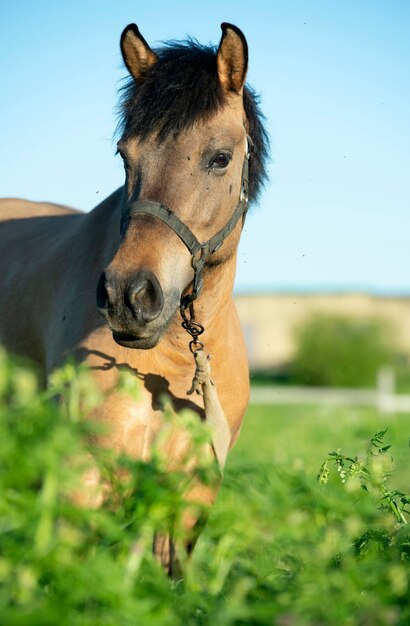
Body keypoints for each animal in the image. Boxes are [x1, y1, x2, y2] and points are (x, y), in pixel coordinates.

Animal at [0, 23, 270, 572]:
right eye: (125, 155)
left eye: (220, 158)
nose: (129, 295)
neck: (172, 366)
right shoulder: (81, 481)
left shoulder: (190, 500)